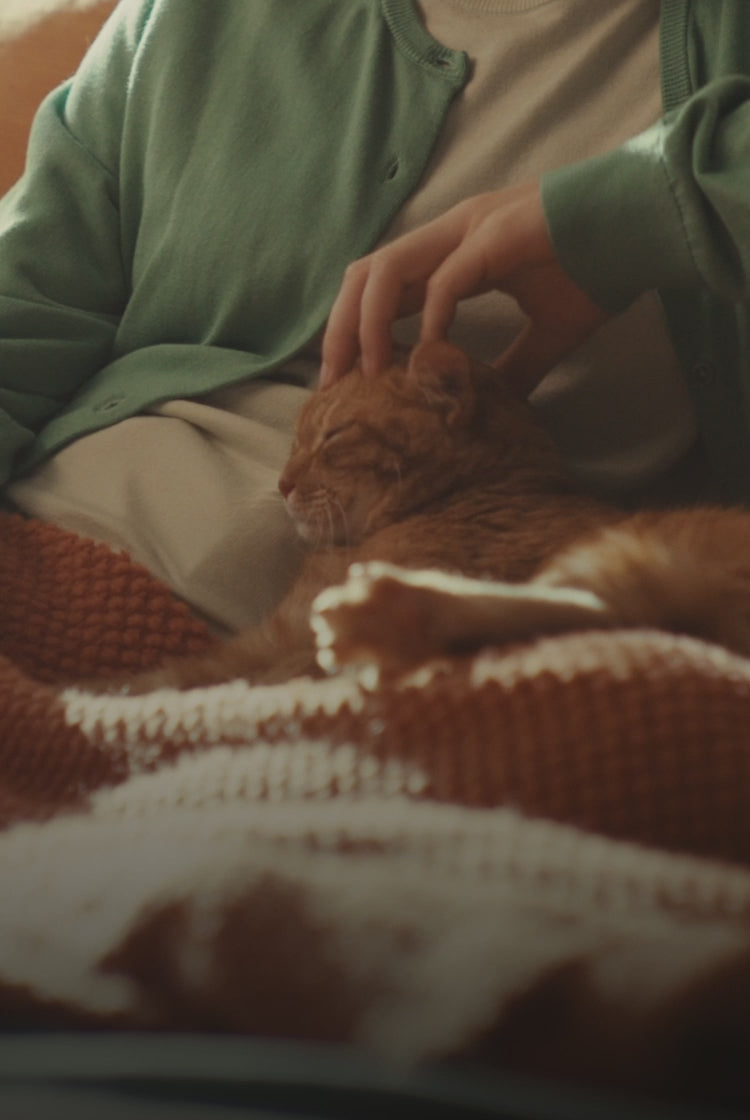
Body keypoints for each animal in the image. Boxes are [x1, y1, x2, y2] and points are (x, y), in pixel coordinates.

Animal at [112, 339, 750, 693]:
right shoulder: (272, 638)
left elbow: (167, 678)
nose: (282, 483)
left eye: (332, 436)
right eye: (294, 441)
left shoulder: (272, 640)